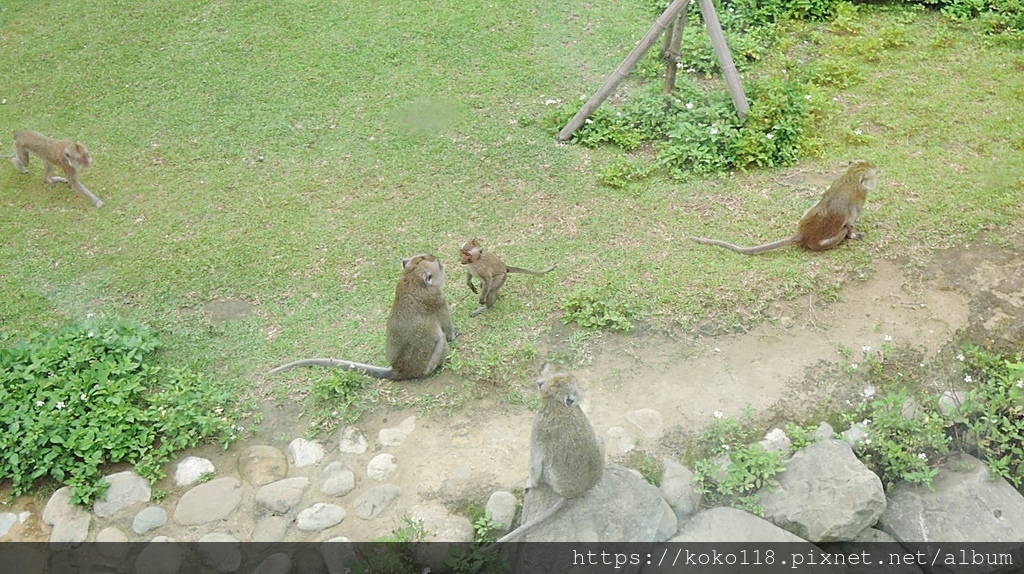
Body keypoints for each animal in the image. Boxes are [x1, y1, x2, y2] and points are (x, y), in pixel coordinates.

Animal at [268, 251, 452, 378]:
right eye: (438, 264)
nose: (442, 264)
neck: (412, 279)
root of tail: (398, 369)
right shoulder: (439, 299)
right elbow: (447, 330)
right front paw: (454, 336)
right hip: (428, 364)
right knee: (441, 341)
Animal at [491, 366, 602, 540]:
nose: (538, 382)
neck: (556, 403)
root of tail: (576, 492)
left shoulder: (538, 426)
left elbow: (535, 461)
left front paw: (530, 483)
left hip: (550, 478)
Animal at [692, 158, 876, 252]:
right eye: (873, 175)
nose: (876, 179)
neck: (851, 179)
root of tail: (803, 234)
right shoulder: (858, 200)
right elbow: (850, 223)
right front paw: (853, 235)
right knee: (842, 229)